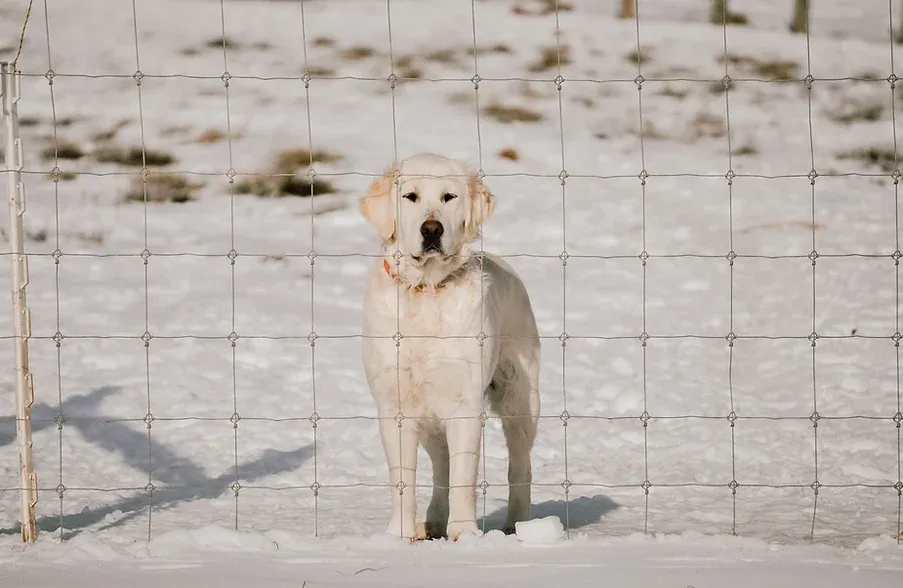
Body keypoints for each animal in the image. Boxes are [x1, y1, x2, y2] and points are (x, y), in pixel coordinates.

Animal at [360, 153, 544, 544]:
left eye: (449, 197)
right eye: (410, 196)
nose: (432, 230)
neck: (427, 289)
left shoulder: (465, 404)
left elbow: (464, 475)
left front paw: (464, 533)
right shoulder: (395, 405)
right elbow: (404, 478)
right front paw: (399, 534)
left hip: (520, 398)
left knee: (520, 465)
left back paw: (518, 524)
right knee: (440, 464)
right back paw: (432, 521)